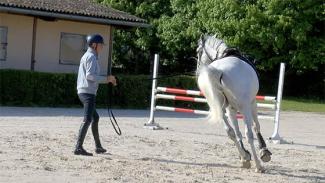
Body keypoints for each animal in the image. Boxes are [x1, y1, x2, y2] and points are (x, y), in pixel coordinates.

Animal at [195, 34, 270, 173]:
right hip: (245, 107)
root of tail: (217, 70)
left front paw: (245, 156)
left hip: (221, 108)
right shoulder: (252, 103)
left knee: (230, 132)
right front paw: (264, 151)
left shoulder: (231, 108)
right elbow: (256, 126)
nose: (197, 71)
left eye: (198, 51)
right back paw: (258, 165)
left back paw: (245, 158)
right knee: (249, 134)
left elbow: (236, 132)